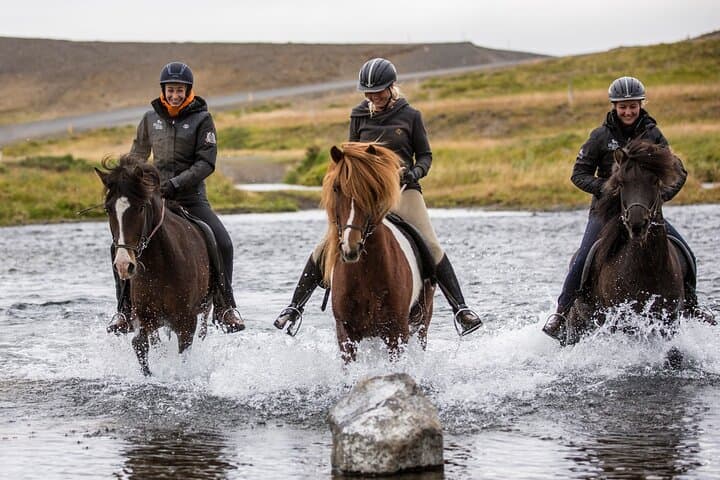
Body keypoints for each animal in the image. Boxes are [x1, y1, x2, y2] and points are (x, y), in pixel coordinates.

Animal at [95, 154, 213, 375]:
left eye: (140, 207)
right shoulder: (145, 318)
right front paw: (149, 375)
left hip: (204, 310)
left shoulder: (187, 322)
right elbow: (140, 345)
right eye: (108, 209)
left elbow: (184, 355)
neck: (161, 265)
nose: (124, 264)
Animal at [321, 142, 435, 362]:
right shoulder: (345, 332)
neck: (365, 272)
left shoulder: (397, 332)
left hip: (422, 323)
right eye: (336, 188)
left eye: (371, 190)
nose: (351, 247)